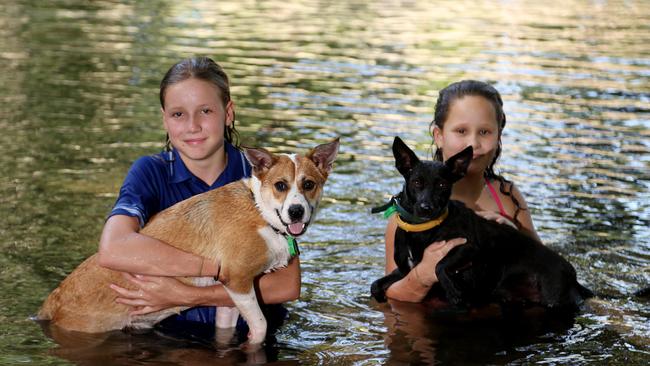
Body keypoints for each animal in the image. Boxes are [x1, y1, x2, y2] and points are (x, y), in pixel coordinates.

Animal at [36, 139, 340, 344]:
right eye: (280, 185)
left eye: (309, 184)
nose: (296, 211)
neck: (259, 211)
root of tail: (53, 299)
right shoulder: (238, 280)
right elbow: (261, 326)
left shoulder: (230, 297)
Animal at [370, 136, 592, 314]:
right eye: (417, 182)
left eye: (442, 184)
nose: (426, 208)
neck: (423, 230)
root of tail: (572, 275)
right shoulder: (405, 271)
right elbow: (376, 285)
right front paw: (379, 293)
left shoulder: (468, 247)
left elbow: (439, 265)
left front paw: (453, 291)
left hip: (555, 298)